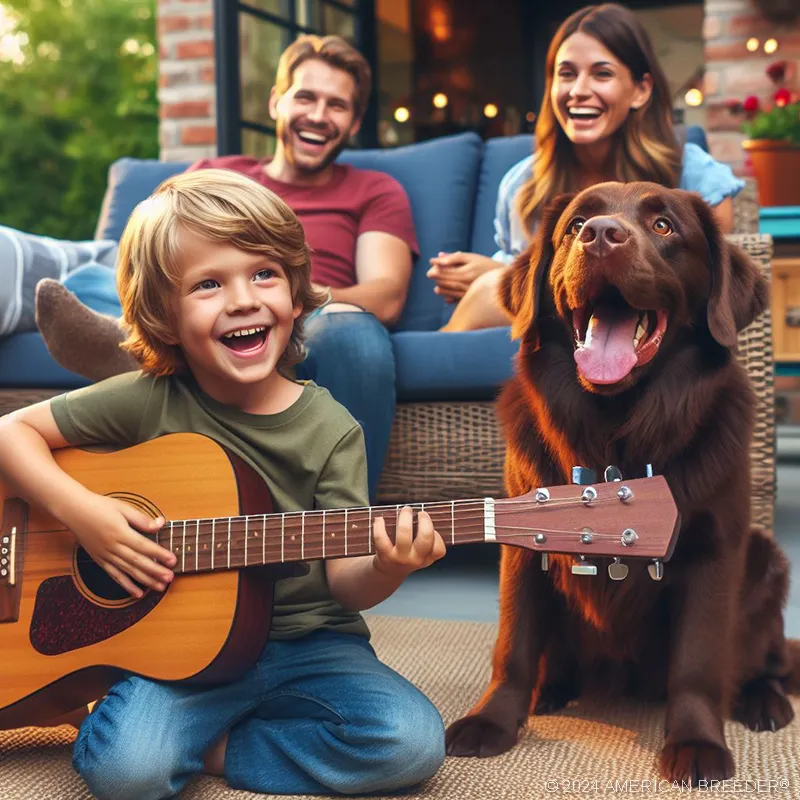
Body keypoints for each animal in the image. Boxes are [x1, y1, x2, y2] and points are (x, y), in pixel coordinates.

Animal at [446, 180, 796, 780]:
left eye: (664, 226)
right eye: (574, 224)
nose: (601, 235)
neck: (618, 432)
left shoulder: (713, 548)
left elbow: (698, 661)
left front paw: (698, 742)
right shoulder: (521, 544)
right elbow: (513, 644)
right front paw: (493, 719)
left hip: (766, 563)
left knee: (765, 662)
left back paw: (763, 701)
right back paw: (550, 689)